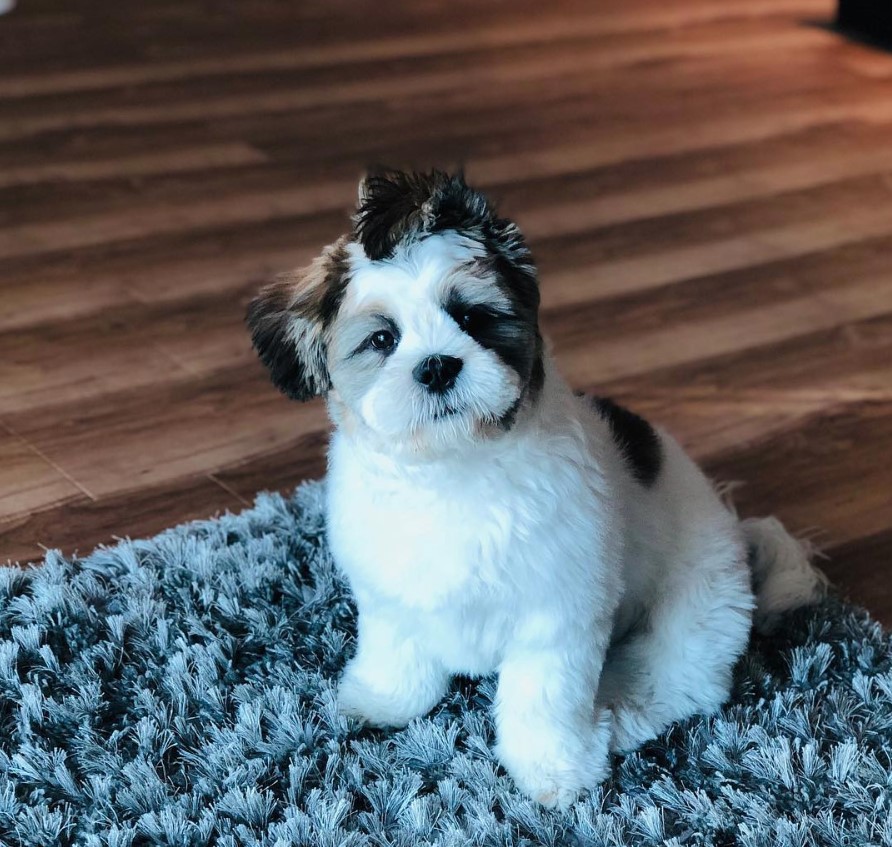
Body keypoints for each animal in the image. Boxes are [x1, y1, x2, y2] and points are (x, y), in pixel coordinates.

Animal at [246, 167, 828, 808]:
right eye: (382, 340)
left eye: (474, 320)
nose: (437, 365)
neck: (455, 468)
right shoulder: (392, 589)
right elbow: (396, 647)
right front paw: (384, 698)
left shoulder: (558, 615)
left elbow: (541, 699)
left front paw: (553, 770)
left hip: (697, 609)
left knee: (678, 677)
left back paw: (618, 715)